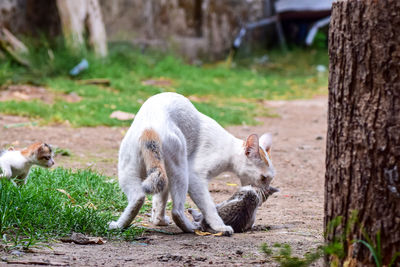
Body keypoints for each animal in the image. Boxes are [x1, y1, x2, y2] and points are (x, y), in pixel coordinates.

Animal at [109, 93, 276, 236]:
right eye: (263, 178)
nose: (265, 191)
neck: (229, 149)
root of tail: (150, 128)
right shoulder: (196, 176)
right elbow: (208, 207)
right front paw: (220, 226)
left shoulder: (165, 180)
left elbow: (160, 200)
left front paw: (158, 220)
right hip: (181, 170)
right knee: (177, 211)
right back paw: (191, 228)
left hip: (129, 170)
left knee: (138, 197)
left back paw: (118, 225)